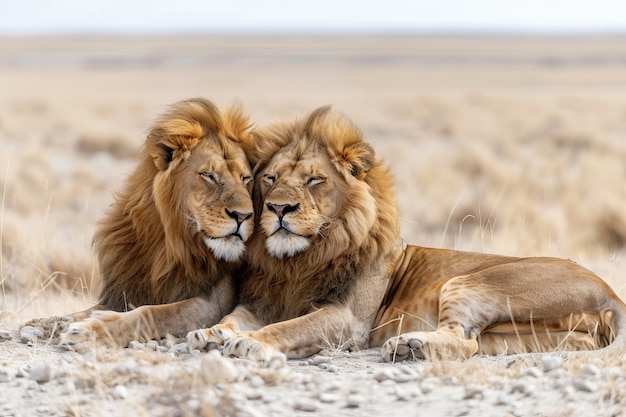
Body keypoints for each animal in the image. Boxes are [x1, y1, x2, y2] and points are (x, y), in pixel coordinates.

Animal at [24, 98, 254, 348]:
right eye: (209, 176)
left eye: (246, 178)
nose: (244, 215)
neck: (169, 243)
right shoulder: (129, 288)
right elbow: (80, 312)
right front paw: (40, 325)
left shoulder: (212, 305)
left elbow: (150, 313)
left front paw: (86, 331)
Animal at [184, 105, 624, 364]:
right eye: (271, 179)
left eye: (314, 180)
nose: (278, 209)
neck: (300, 259)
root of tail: (609, 291)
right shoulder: (265, 302)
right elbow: (232, 317)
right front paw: (210, 333)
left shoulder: (347, 320)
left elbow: (288, 328)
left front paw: (252, 343)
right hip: (530, 332)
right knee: (482, 344)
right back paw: (414, 346)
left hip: (473, 282)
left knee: (464, 339)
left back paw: (411, 346)